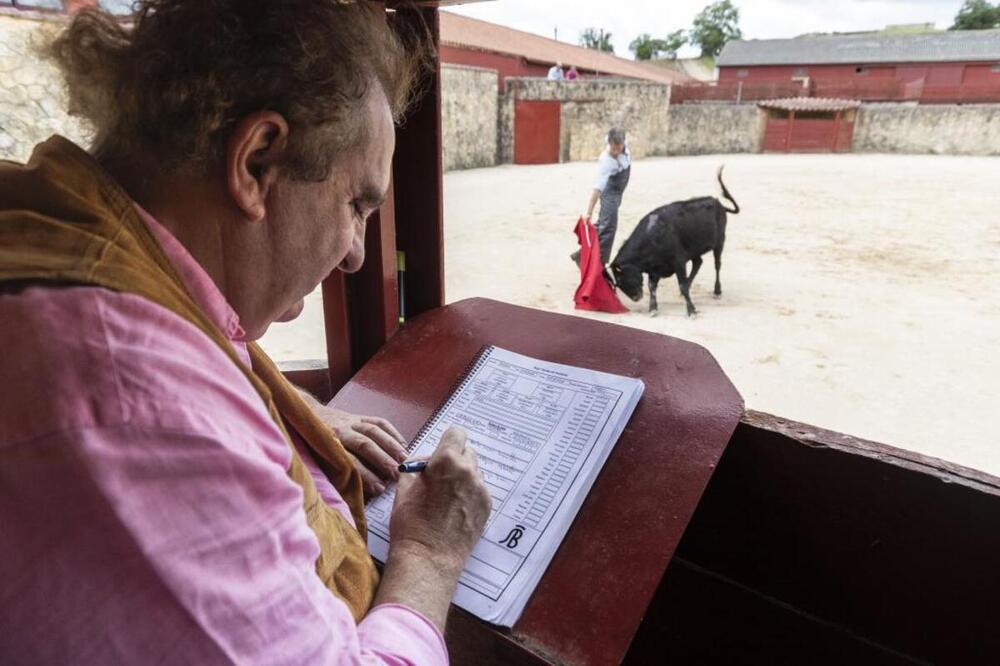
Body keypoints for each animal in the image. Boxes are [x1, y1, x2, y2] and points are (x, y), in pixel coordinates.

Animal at [604, 166, 740, 316]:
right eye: (617, 284)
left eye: (622, 278)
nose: (636, 298)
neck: (652, 236)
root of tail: (718, 203)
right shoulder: (654, 267)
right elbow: (652, 286)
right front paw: (653, 309)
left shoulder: (678, 261)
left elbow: (682, 285)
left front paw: (691, 311)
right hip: (694, 250)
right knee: (698, 262)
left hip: (720, 242)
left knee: (717, 265)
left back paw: (717, 291)